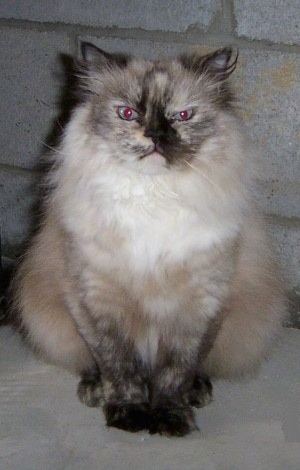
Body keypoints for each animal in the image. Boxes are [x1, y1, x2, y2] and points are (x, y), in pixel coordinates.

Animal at [10, 44, 286, 436]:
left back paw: (198, 393)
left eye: (183, 115)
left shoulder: (200, 304)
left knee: (197, 370)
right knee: (93, 365)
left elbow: (176, 373)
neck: (152, 197)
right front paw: (129, 415)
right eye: (127, 113)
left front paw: (170, 420)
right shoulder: (96, 300)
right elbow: (120, 367)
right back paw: (94, 390)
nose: (155, 135)